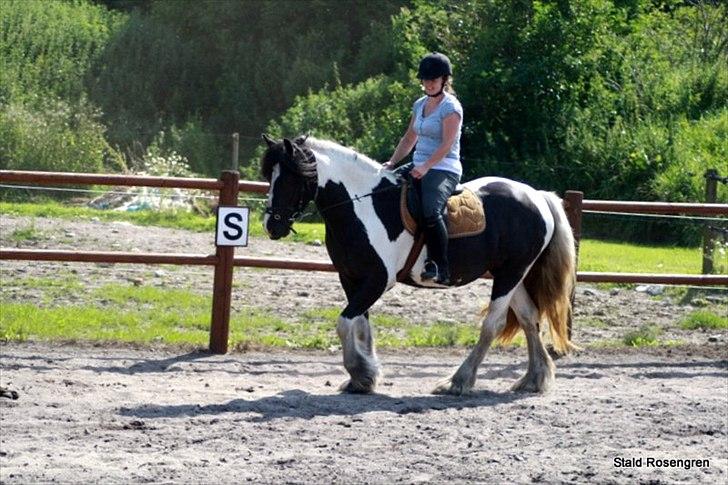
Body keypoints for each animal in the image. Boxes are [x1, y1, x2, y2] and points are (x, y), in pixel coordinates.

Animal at [260, 133, 576, 394]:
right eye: (267, 176)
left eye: (289, 178)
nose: (271, 226)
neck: (363, 205)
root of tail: (537, 196)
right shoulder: (351, 278)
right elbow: (360, 325)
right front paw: (364, 377)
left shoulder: (378, 280)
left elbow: (344, 322)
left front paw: (361, 372)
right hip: (511, 274)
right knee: (528, 316)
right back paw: (534, 378)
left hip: (511, 273)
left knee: (493, 324)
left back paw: (458, 381)